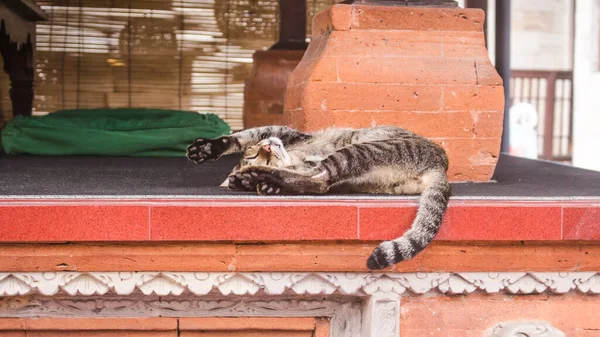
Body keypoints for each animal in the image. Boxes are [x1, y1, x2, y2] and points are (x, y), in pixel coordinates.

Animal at [188, 124, 450, 270]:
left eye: (256, 154)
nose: (269, 149)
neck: (294, 155)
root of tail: (440, 166)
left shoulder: (286, 133)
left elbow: (244, 135)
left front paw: (209, 148)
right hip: (358, 162)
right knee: (319, 181)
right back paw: (258, 179)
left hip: (359, 151)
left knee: (319, 178)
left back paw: (254, 177)